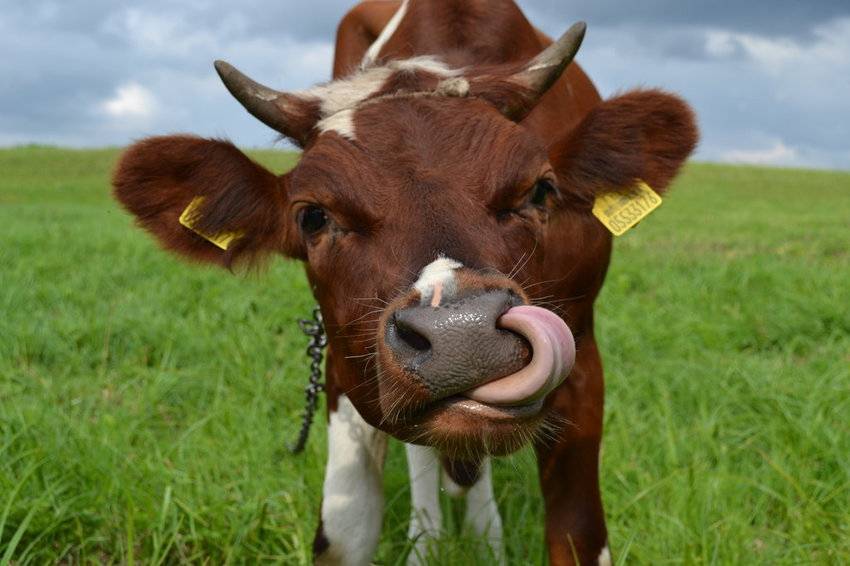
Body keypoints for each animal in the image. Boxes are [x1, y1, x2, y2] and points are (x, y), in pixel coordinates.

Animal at [111, 1, 696, 566]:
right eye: (313, 217)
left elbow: (577, 535)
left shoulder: (582, 363)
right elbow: (346, 535)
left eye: (540, 191)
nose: (464, 335)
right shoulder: (344, 369)